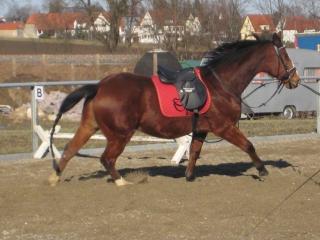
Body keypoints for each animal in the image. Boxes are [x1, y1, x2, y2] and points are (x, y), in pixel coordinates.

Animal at [47, 31, 300, 187]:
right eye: (285, 55)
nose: (295, 79)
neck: (220, 83)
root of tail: (99, 86)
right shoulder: (224, 127)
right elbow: (248, 145)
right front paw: (263, 170)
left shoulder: (202, 129)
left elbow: (195, 152)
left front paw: (189, 176)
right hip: (120, 134)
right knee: (107, 159)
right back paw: (121, 182)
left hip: (90, 126)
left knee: (69, 150)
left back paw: (54, 179)